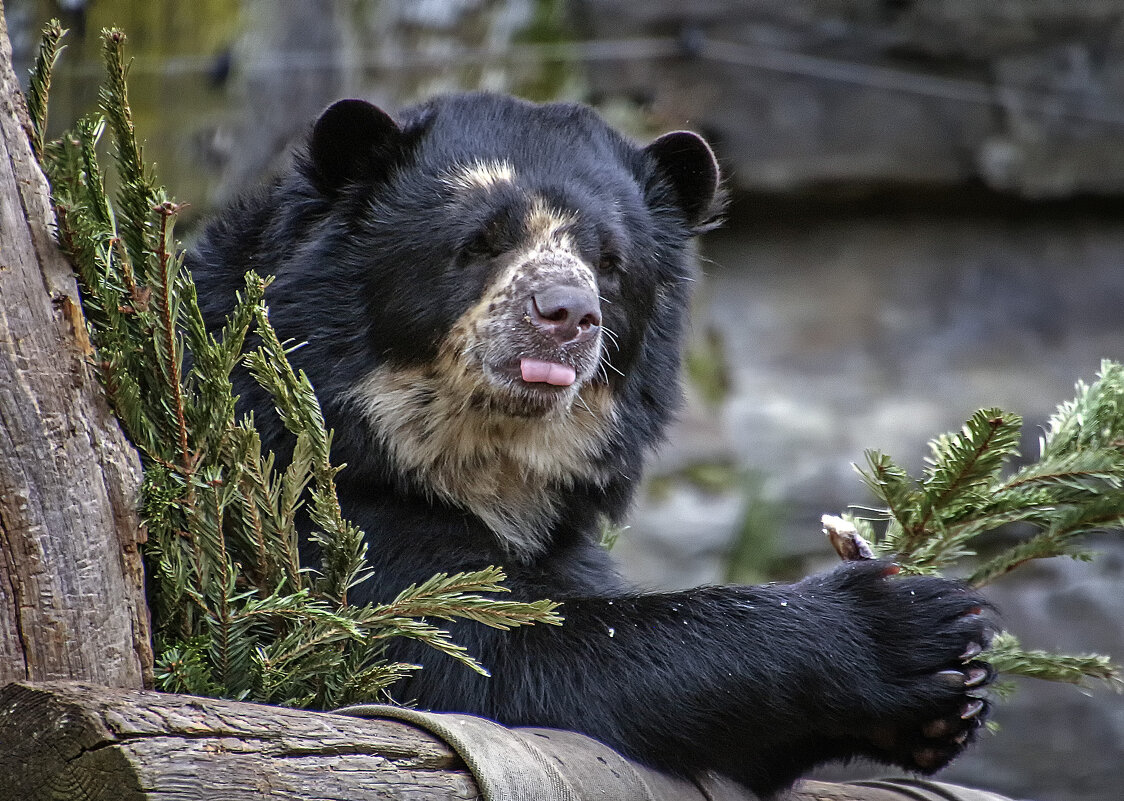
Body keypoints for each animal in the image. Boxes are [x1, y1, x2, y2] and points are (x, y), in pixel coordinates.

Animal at [188, 93, 998, 795]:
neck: (480, 460)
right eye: (479, 244)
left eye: (610, 262)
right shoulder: (317, 504)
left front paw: (950, 696)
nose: (567, 313)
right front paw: (909, 626)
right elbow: (486, 652)